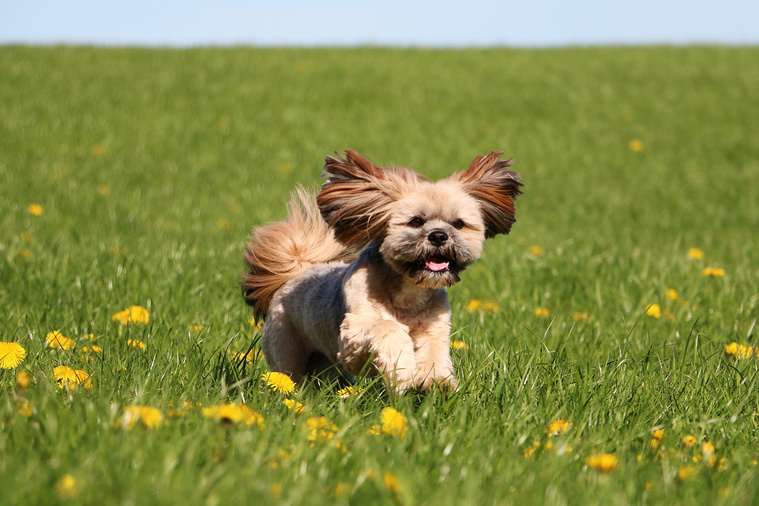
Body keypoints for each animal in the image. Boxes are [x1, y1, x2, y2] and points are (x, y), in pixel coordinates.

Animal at [243, 148, 524, 394]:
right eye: (416, 221)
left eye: (458, 224)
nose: (438, 235)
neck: (408, 296)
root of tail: (296, 274)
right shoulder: (352, 335)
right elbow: (387, 328)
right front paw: (402, 372)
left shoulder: (435, 328)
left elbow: (435, 353)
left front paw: (435, 382)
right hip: (288, 353)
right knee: (289, 375)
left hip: (328, 368)